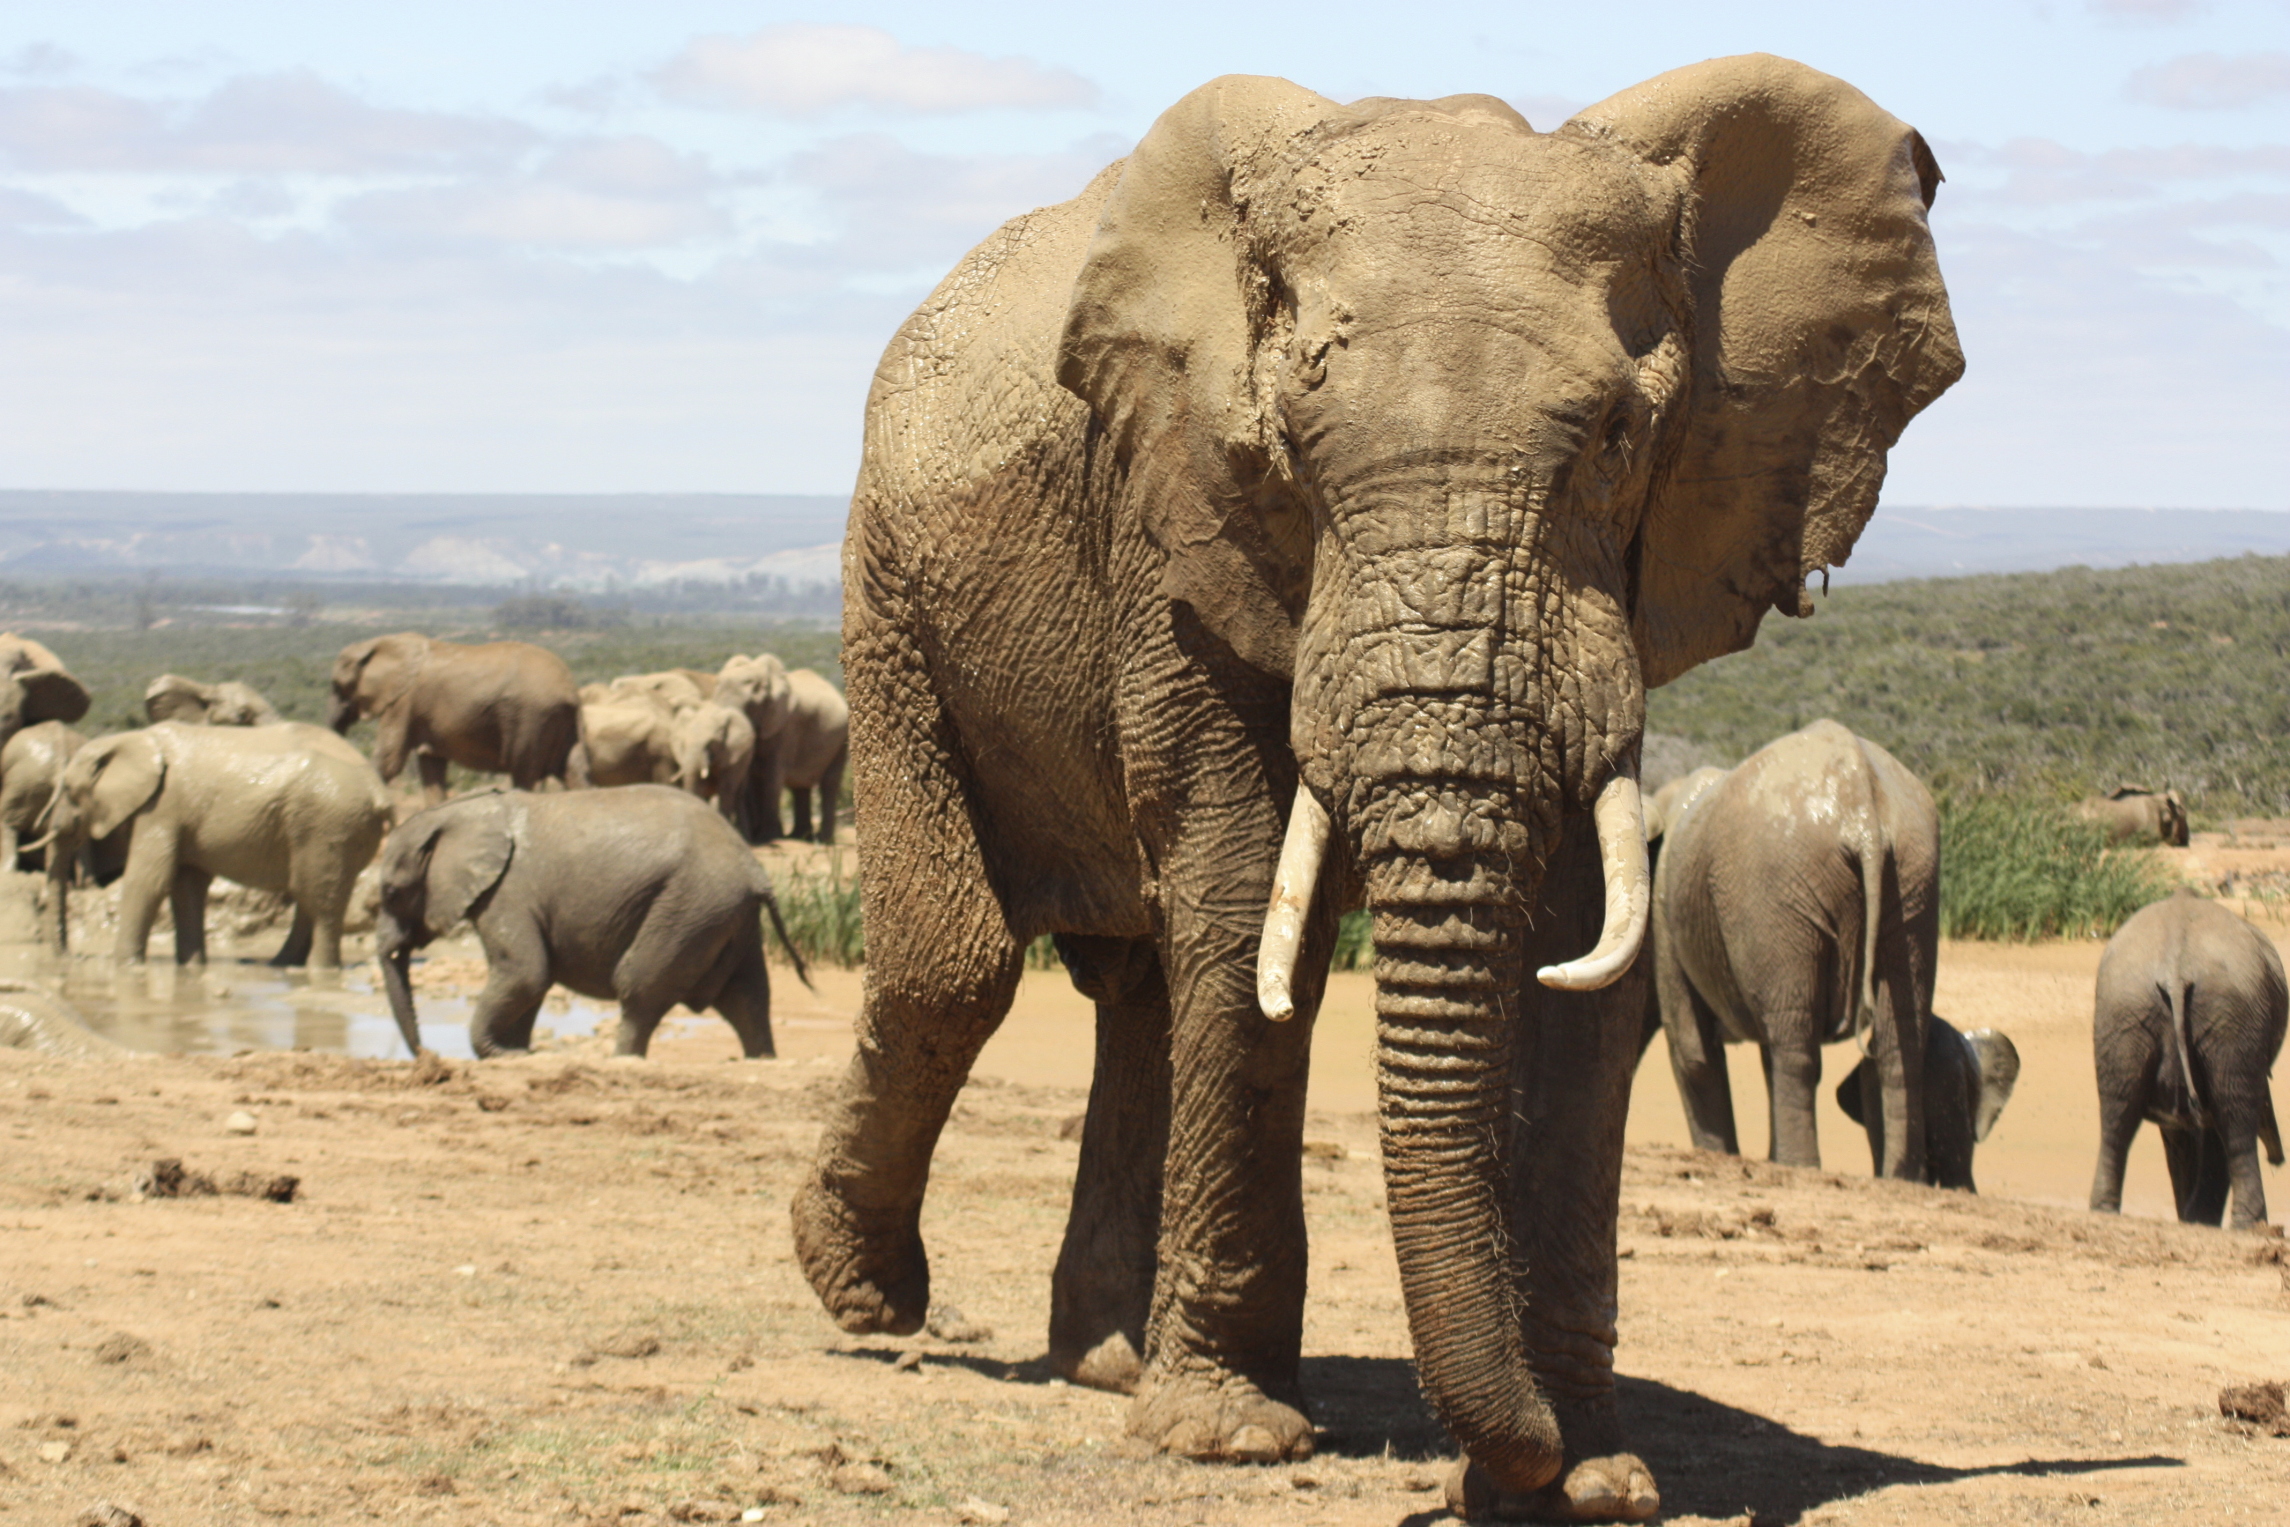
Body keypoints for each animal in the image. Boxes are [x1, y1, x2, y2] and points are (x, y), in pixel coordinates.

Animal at [43, 718, 393, 966]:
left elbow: (149, 881)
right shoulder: (179, 816)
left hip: (328, 824)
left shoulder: (162, 807)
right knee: (311, 895)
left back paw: (319, 971)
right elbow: (186, 886)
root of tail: (377, 790)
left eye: (69, 791)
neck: (133, 738)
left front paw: (125, 967)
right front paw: (191, 968)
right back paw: (281, 966)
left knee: (321, 902)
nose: (71, 956)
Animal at [329, 631, 581, 805]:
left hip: (530, 718)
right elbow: (431, 766)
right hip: (558, 720)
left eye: (337, 686)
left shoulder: (404, 702)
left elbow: (389, 760)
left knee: (524, 775)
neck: (379, 643)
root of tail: (569, 689)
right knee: (571, 769)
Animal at [1639, 723, 1941, 1181]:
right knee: (1898, 1040)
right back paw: (1898, 1178)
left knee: (1794, 1040)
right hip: (1912, 878)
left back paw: (1802, 1167)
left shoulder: (1666, 913)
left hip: (1775, 890)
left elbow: (1692, 1051)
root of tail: (1863, 805)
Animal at [2097, 888, 2290, 1236]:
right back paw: (2249, 1225)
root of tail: (2176, 965)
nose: (2278, 1160)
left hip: (2124, 1011)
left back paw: (2103, 1212)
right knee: (2235, 1120)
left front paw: (2193, 1217)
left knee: (2116, 1113)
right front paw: (2197, 1217)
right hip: (2231, 1014)